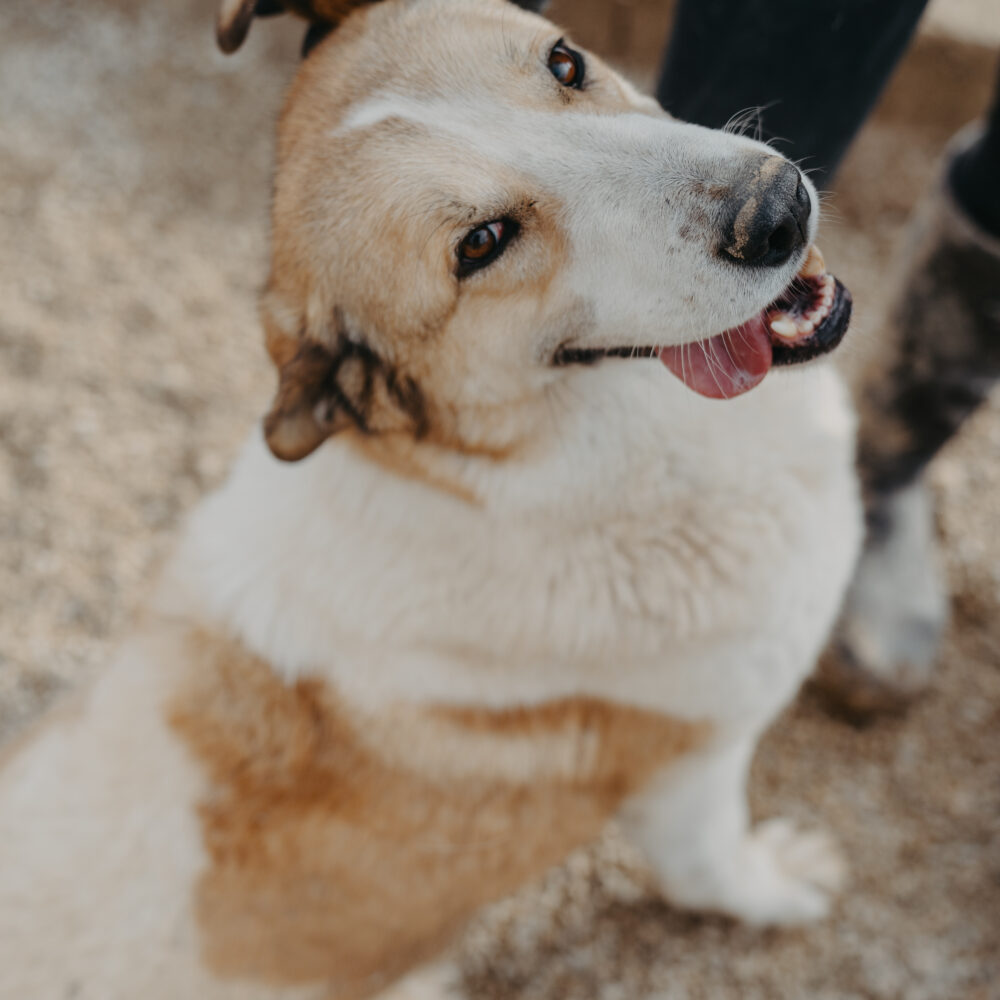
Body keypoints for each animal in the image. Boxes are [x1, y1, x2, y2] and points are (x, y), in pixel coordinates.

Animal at [0, 0, 861, 997]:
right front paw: (782, 884)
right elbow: (713, 869)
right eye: (480, 245)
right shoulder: (693, 773)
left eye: (565, 63)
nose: (775, 206)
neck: (525, 476)